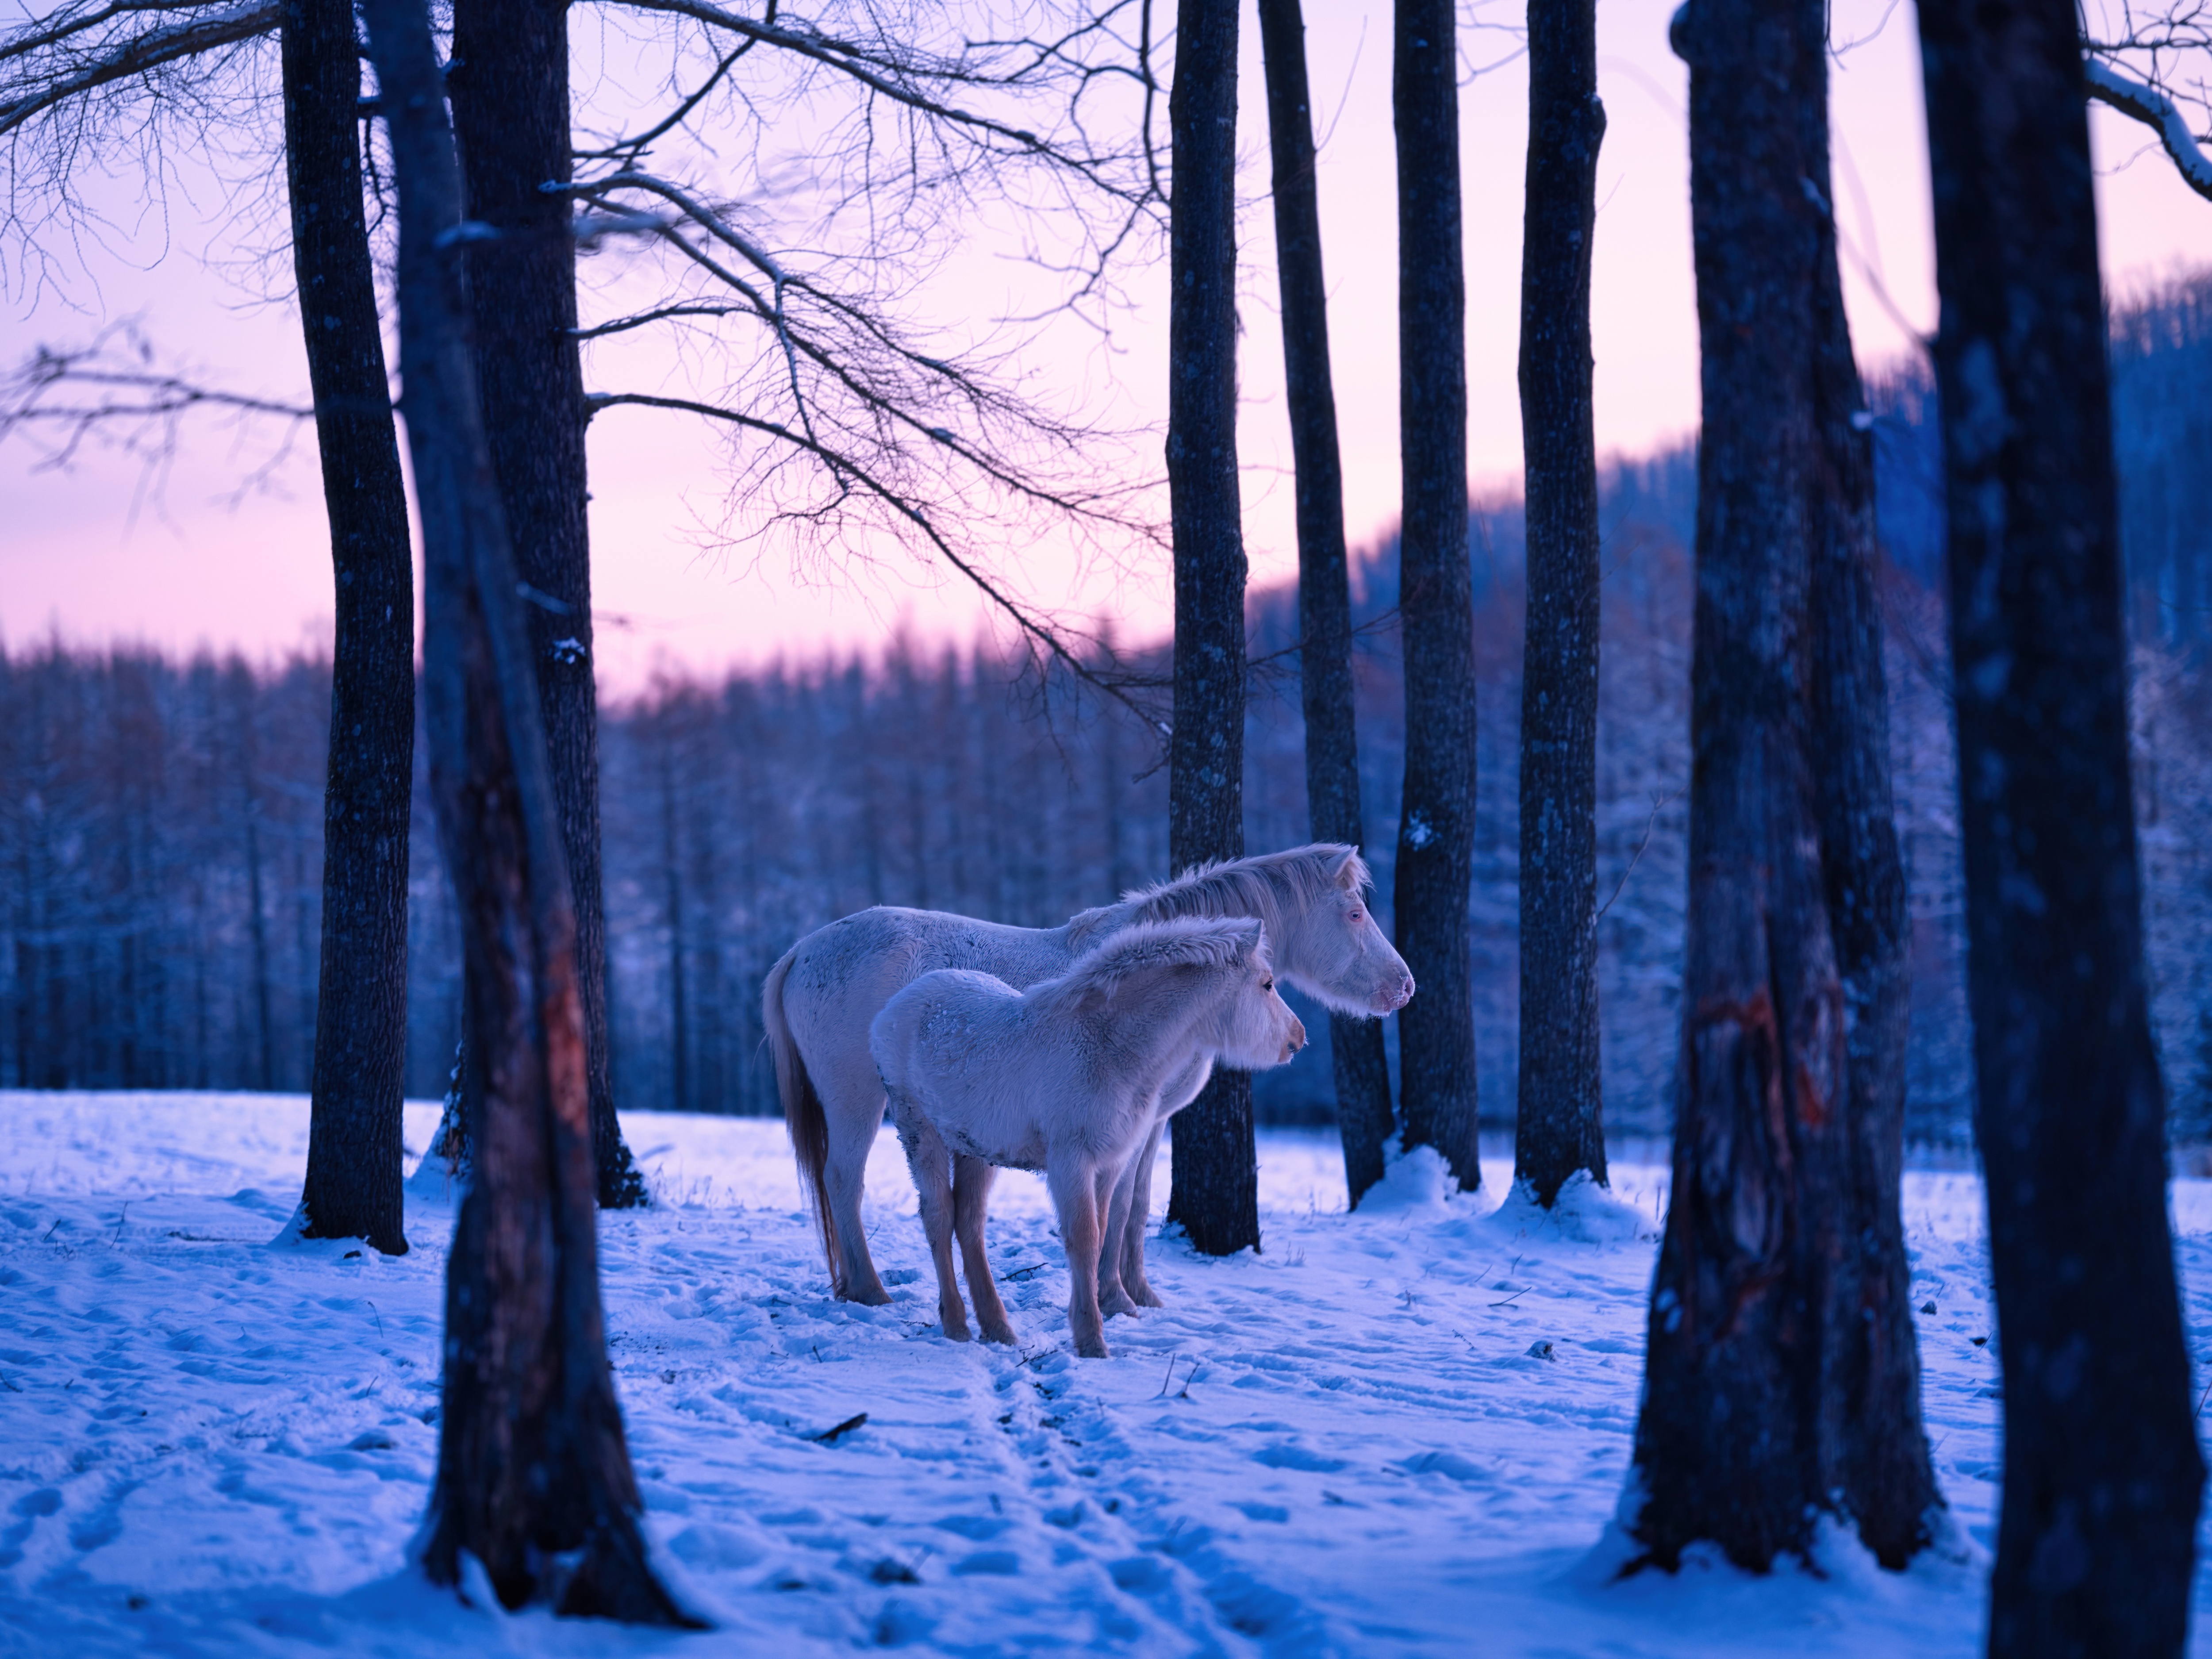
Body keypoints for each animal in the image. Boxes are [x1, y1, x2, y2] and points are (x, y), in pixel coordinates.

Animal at [762, 844, 1415, 1307]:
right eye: (1355, 912)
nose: (1405, 987)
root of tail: (802, 951)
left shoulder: (1150, 1121)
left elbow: (1137, 1202)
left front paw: (1138, 1294)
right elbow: (1118, 1205)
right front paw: (1113, 1297)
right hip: (857, 1099)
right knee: (842, 1180)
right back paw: (871, 1291)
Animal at [870, 917, 1305, 1358]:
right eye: (1268, 984)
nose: (1299, 1038)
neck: (1108, 1046)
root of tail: (895, 1007)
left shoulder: (1109, 1163)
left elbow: (1102, 1232)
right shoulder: (1071, 1163)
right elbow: (1084, 1238)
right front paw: (1092, 1341)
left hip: (975, 1149)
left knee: (970, 1223)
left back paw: (999, 1329)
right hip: (920, 1133)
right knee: (939, 1218)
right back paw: (957, 1325)